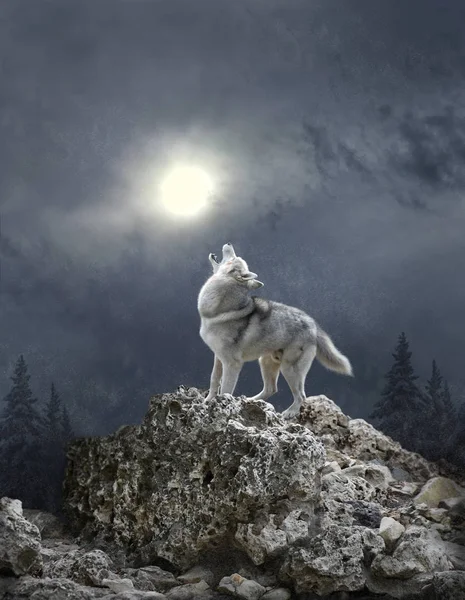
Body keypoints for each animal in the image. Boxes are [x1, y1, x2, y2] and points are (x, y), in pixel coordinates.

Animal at [196, 243, 352, 418]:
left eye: (235, 257)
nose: (229, 243)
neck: (216, 310)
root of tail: (314, 325)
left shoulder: (232, 363)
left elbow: (225, 390)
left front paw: (223, 407)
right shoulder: (218, 357)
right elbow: (214, 380)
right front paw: (207, 402)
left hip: (289, 369)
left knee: (301, 396)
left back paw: (289, 413)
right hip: (266, 362)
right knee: (271, 389)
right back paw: (249, 401)